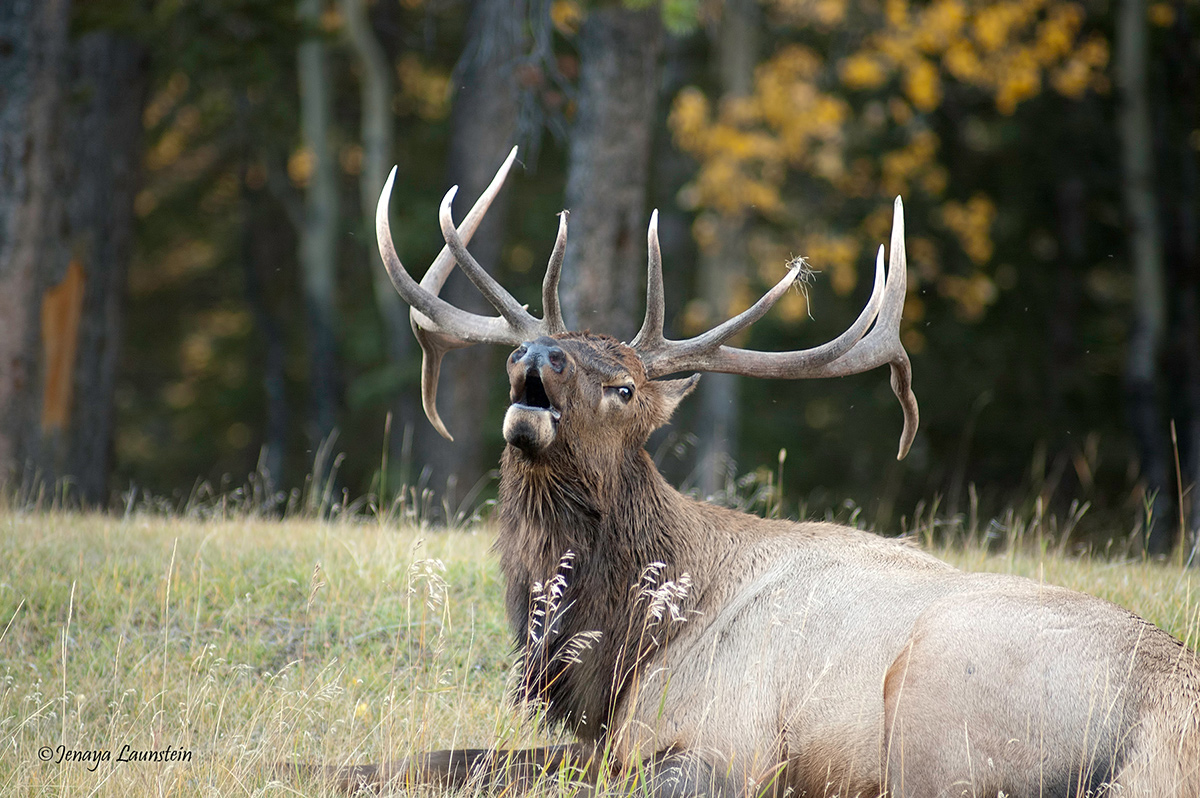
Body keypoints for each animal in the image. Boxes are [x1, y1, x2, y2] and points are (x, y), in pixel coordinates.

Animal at [321, 146, 1200, 797]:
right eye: (532, 354)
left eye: (625, 386)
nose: (536, 354)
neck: (632, 638)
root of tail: (1165, 732)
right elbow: (433, 758)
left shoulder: (718, 745)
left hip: (938, 708)